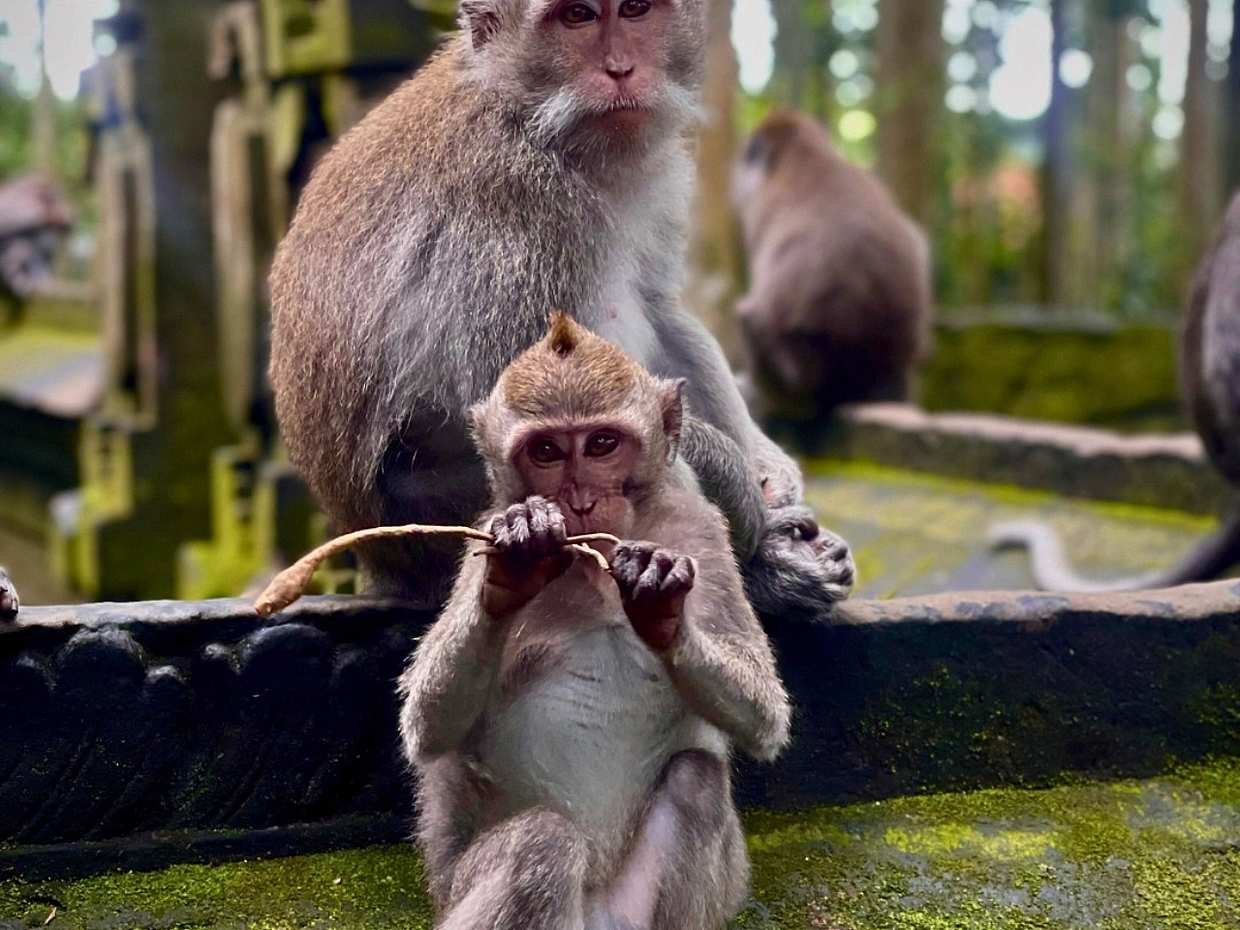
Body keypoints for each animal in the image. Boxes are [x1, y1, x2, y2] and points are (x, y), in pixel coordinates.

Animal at [267, 0, 854, 620]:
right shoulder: (519, 208)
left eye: (635, 10)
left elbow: (659, 309)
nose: (620, 69)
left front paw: (770, 473)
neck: (533, 118)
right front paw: (755, 515)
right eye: (576, 17)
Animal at [398, 315, 790, 930]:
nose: (580, 500)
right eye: (547, 450)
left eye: (602, 443)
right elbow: (429, 725)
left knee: (696, 781)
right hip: (463, 891)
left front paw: (662, 607)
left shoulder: (700, 531)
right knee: (542, 843)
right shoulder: (483, 535)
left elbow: (765, 717)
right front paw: (517, 570)